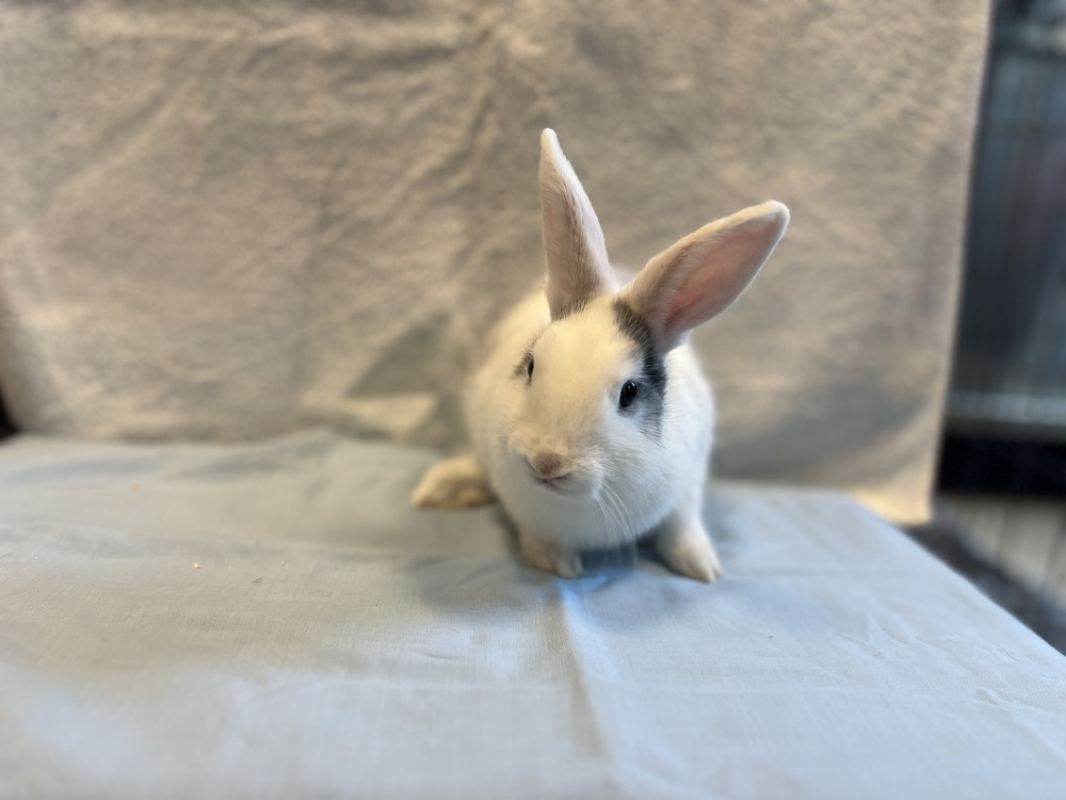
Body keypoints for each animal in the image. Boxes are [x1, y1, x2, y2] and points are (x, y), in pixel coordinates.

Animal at [412, 129, 788, 581]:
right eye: (531, 365)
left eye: (630, 392)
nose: (547, 462)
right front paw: (555, 563)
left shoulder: (690, 482)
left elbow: (682, 526)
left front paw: (702, 567)